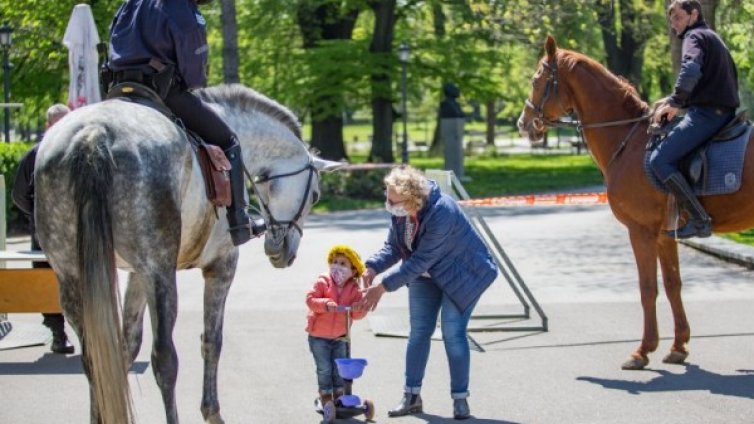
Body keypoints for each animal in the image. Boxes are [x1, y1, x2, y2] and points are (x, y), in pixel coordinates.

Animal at [32, 83, 332, 424]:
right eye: (315, 195)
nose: (283, 252)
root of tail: (93, 134)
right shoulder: (221, 266)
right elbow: (212, 341)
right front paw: (212, 411)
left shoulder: (136, 274)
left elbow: (125, 347)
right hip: (161, 274)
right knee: (165, 359)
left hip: (74, 275)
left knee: (95, 357)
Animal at [516, 35, 752, 368]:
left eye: (537, 79)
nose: (523, 123)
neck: (629, 139)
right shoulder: (665, 235)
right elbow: (673, 285)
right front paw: (678, 346)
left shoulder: (640, 231)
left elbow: (647, 288)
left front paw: (643, 350)